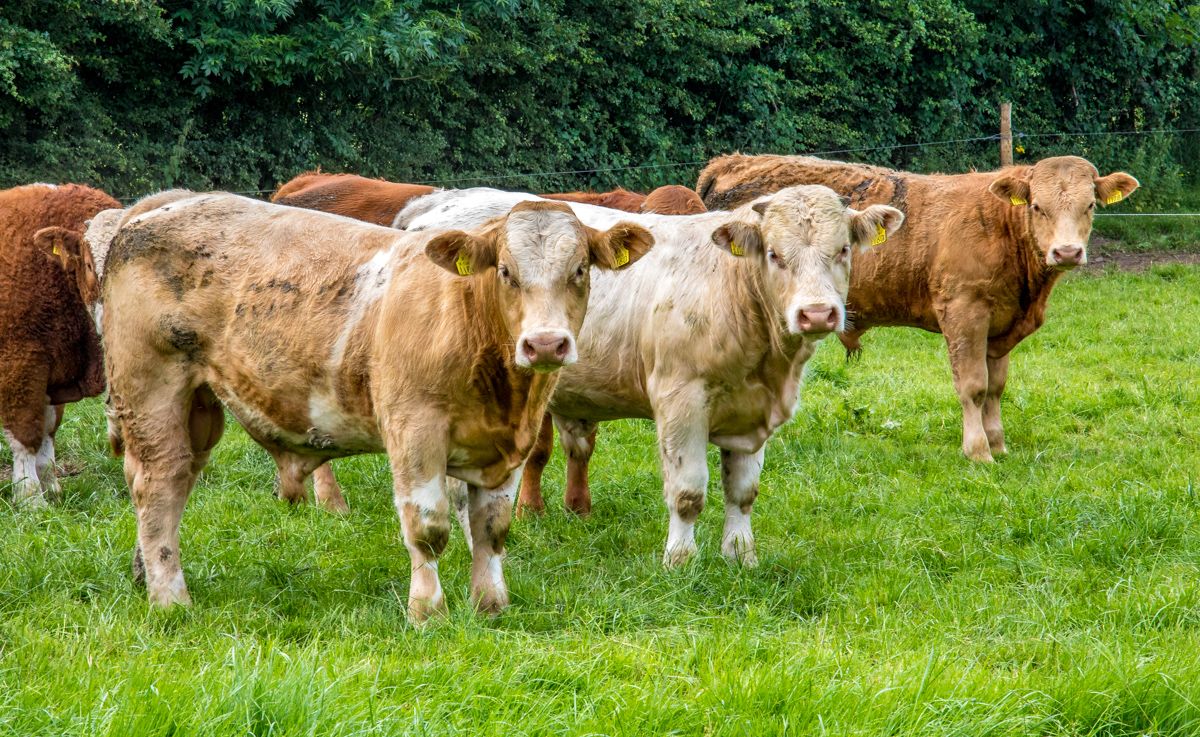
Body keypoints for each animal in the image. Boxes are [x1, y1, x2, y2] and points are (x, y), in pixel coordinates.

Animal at [0, 183, 118, 506]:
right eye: (89, 264)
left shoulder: (55, 370)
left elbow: (49, 430)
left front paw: (51, 486)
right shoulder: (20, 366)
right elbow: (27, 432)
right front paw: (30, 498)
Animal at [101, 192, 653, 620]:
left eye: (579, 269)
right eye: (505, 271)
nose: (544, 344)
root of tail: (166, 203)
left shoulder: (508, 444)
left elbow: (492, 528)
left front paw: (490, 606)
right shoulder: (414, 429)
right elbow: (428, 528)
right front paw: (427, 611)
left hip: (196, 405)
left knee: (169, 485)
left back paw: (143, 574)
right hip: (151, 388)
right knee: (158, 484)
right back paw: (171, 599)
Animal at [399, 186, 903, 564]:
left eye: (843, 250)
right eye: (776, 255)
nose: (816, 314)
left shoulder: (753, 414)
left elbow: (742, 492)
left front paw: (741, 557)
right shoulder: (681, 401)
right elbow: (688, 491)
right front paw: (680, 560)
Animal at [695, 154, 1140, 462]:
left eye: (1090, 205)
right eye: (1036, 207)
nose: (1067, 252)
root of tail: (732, 161)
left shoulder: (1000, 325)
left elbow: (996, 387)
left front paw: (998, 443)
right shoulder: (964, 313)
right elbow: (973, 386)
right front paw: (978, 451)